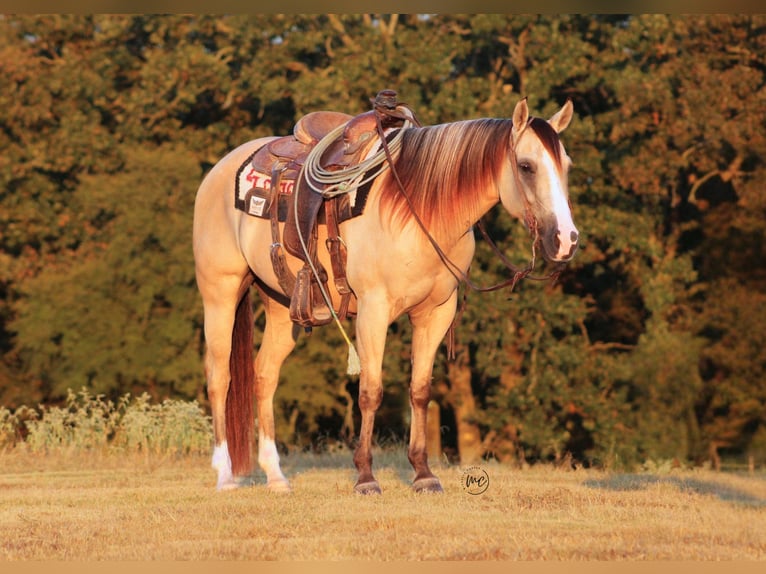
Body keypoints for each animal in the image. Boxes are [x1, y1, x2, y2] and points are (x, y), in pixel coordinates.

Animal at [193, 97, 578, 493]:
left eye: (566, 165)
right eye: (526, 166)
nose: (566, 240)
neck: (420, 210)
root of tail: (221, 169)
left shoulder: (436, 313)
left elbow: (420, 390)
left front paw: (423, 474)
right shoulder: (373, 312)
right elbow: (370, 391)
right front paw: (365, 477)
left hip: (283, 306)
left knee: (265, 375)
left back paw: (276, 477)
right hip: (220, 293)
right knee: (219, 377)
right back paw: (225, 474)